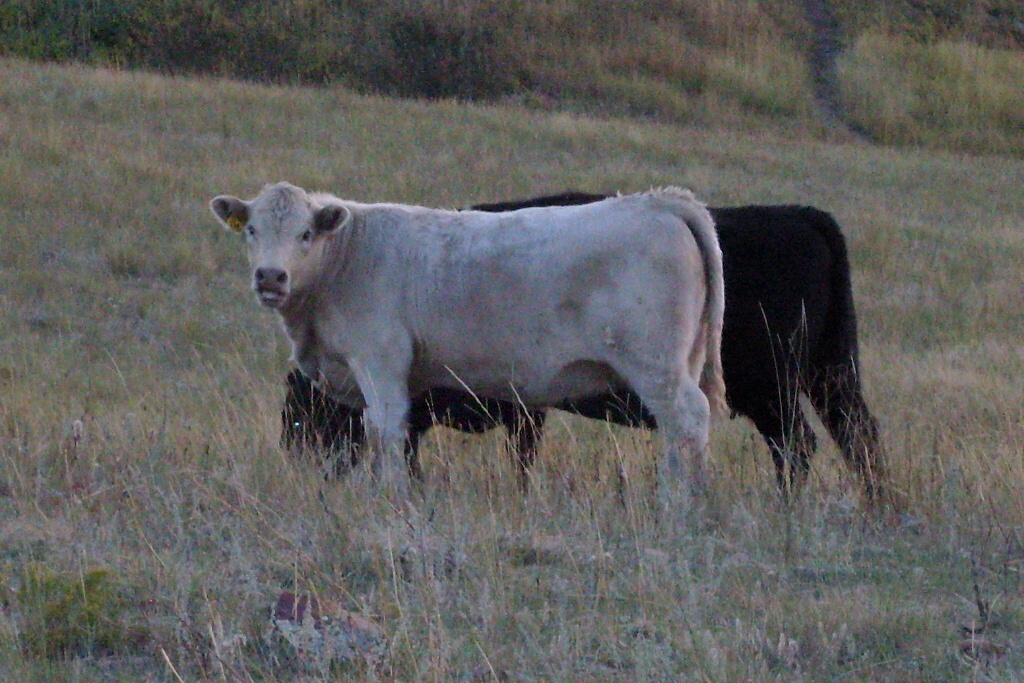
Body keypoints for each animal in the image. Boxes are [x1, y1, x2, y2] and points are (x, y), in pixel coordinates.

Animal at [213, 182, 726, 504]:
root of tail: (660, 202)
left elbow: (385, 430)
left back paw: (680, 504)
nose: (271, 277)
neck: (347, 255)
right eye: (252, 230)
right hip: (682, 361)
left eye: (305, 233)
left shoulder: (379, 360)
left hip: (655, 364)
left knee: (687, 419)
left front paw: (390, 499)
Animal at [281, 192, 888, 506]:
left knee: (782, 442)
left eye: (300, 405)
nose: (295, 456)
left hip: (753, 388)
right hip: (831, 374)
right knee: (856, 433)